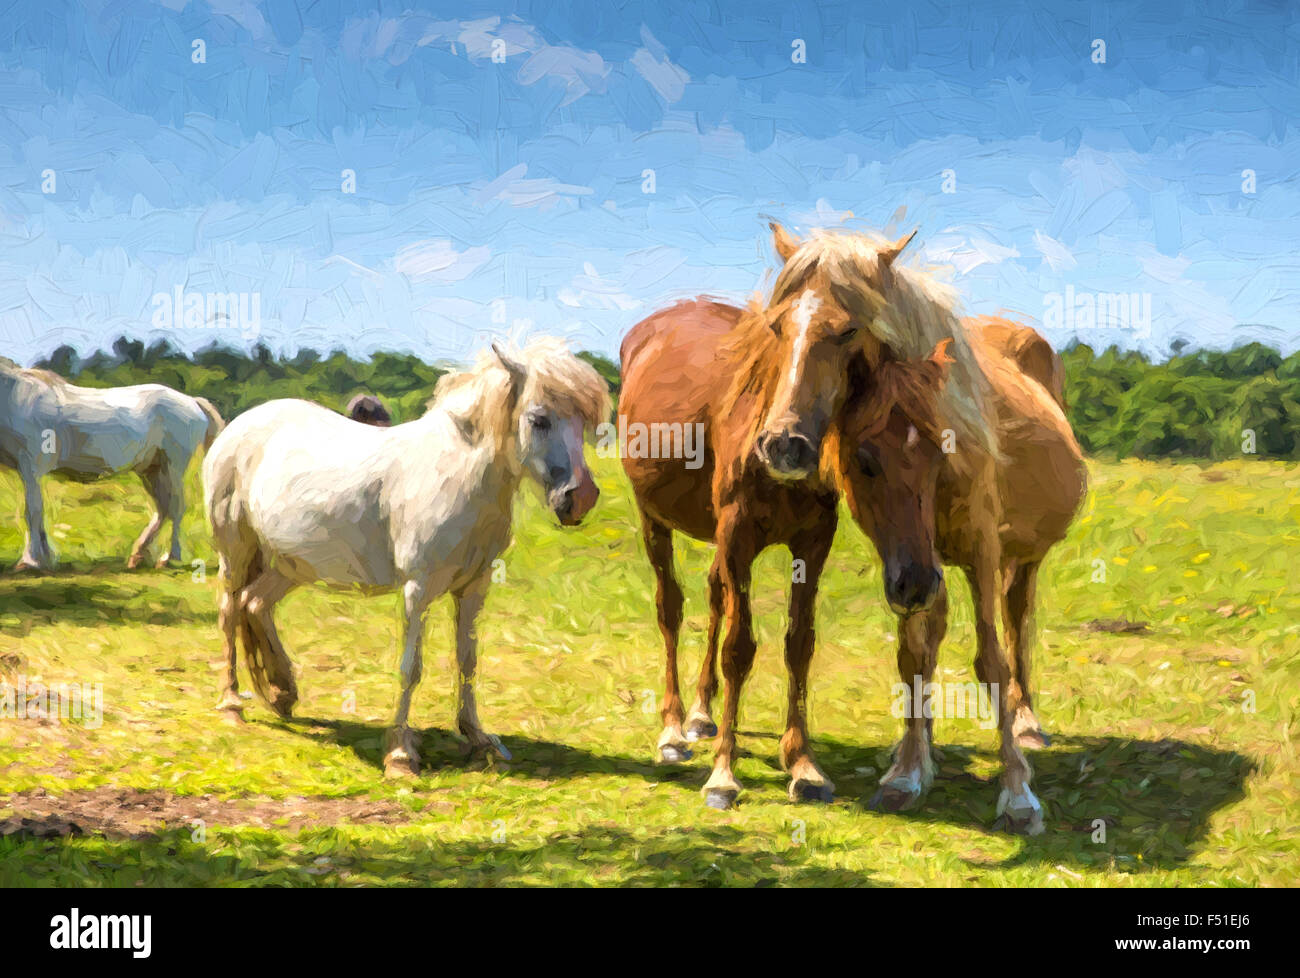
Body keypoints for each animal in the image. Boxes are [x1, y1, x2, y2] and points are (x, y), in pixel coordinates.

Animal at [0, 358, 223, 572]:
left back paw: (169, 559)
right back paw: (138, 556)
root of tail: (192, 401)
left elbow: (32, 512)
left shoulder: (30, 467)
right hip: (151, 470)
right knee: (163, 508)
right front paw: (46, 558)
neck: (14, 397)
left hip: (173, 467)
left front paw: (30, 561)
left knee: (176, 508)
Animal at [202, 340, 608, 775]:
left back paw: (281, 693)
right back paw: (231, 704)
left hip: (292, 564)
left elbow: (468, 660)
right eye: (539, 419)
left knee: (255, 603)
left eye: (584, 423)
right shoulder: (419, 588)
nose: (580, 498)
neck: (458, 476)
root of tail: (236, 427)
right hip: (236, 549)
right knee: (230, 609)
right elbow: (411, 668)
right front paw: (400, 755)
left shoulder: (473, 587)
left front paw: (479, 739)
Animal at [618, 227, 956, 811]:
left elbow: (799, 644)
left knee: (714, 597)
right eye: (777, 326)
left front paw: (803, 764)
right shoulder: (737, 534)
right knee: (671, 608)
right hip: (653, 521)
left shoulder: (812, 542)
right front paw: (723, 775)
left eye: (848, 330)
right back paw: (673, 729)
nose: (785, 445)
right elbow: (739, 649)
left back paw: (702, 714)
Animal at [832, 314, 1086, 832]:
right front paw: (908, 770)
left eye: (941, 449)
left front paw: (1018, 794)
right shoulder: (909, 571)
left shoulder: (981, 552)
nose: (916, 581)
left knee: (1016, 625)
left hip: (1021, 560)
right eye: (865, 460)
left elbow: (992, 661)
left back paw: (1026, 722)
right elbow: (913, 657)